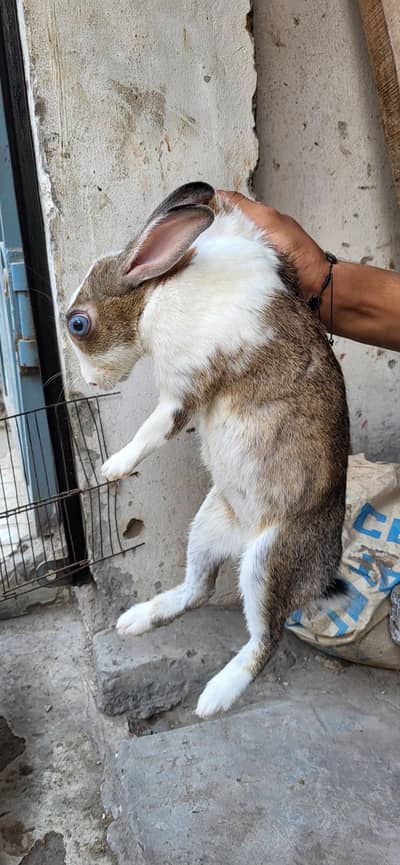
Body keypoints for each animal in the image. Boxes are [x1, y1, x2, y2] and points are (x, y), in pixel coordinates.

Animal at [66, 181, 349, 718]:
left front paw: (110, 469)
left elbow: (152, 431)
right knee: (199, 589)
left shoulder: (183, 390)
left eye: (77, 324)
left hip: (267, 563)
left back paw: (215, 697)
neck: (152, 294)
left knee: (265, 638)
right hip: (207, 525)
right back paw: (136, 619)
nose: (89, 384)